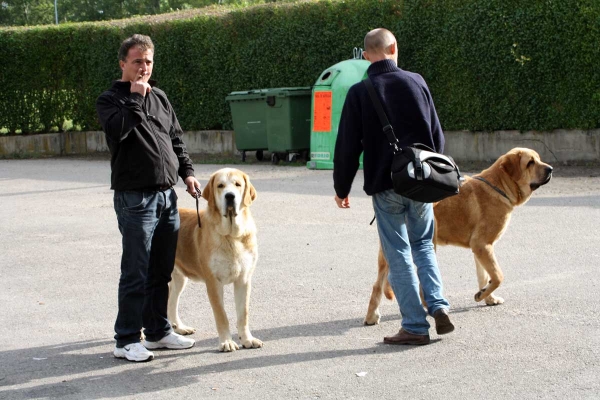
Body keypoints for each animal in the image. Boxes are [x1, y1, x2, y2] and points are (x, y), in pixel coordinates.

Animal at [168, 167, 264, 352]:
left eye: (237, 184)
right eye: (220, 186)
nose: (230, 196)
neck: (232, 236)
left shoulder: (243, 280)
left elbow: (243, 314)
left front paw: (247, 339)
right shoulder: (213, 283)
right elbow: (221, 315)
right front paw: (226, 342)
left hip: (179, 279)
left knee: (171, 302)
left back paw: (180, 328)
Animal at [360, 147, 552, 324]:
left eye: (538, 159)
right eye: (530, 163)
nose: (550, 169)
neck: (499, 185)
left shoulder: (480, 250)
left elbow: (485, 276)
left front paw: (487, 297)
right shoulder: (482, 245)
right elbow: (498, 276)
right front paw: (483, 295)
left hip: (391, 249)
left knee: (378, 285)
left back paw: (371, 316)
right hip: (428, 243)